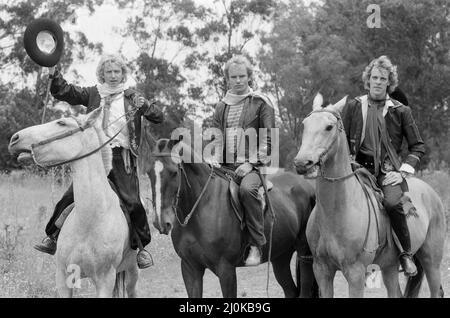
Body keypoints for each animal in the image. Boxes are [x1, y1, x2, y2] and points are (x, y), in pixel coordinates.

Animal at [8, 108, 138, 296]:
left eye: (62, 123)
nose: (15, 138)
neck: (90, 220)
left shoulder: (105, 280)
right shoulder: (63, 276)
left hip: (132, 272)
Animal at [139, 137, 318, 298]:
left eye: (174, 172)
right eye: (148, 173)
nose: (160, 222)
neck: (201, 206)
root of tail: (307, 186)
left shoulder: (226, 269)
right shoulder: (190, 268)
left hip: (304, 254)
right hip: (280, 256)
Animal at [292, 95, 446, 298]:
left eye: (329, 127)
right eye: (305, 124)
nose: (302, 163)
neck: (338, 211)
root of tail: (431, 193)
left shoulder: (355, 273)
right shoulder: (322, 270)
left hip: (431, 261)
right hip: (390, 267)